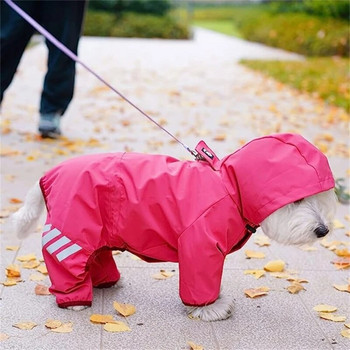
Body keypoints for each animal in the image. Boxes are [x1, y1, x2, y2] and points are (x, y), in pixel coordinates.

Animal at [12, 133, 338, 320]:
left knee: (98, 254)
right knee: (67, 260)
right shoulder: (200, 245)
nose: (323, 231)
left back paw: (104, 281)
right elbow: (200, 279)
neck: (232, 190)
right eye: (298, 200)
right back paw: (74, 299)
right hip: (73, 229)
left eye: (318, 198)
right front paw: (208, 308)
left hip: (95, 229)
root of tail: (49, 175)